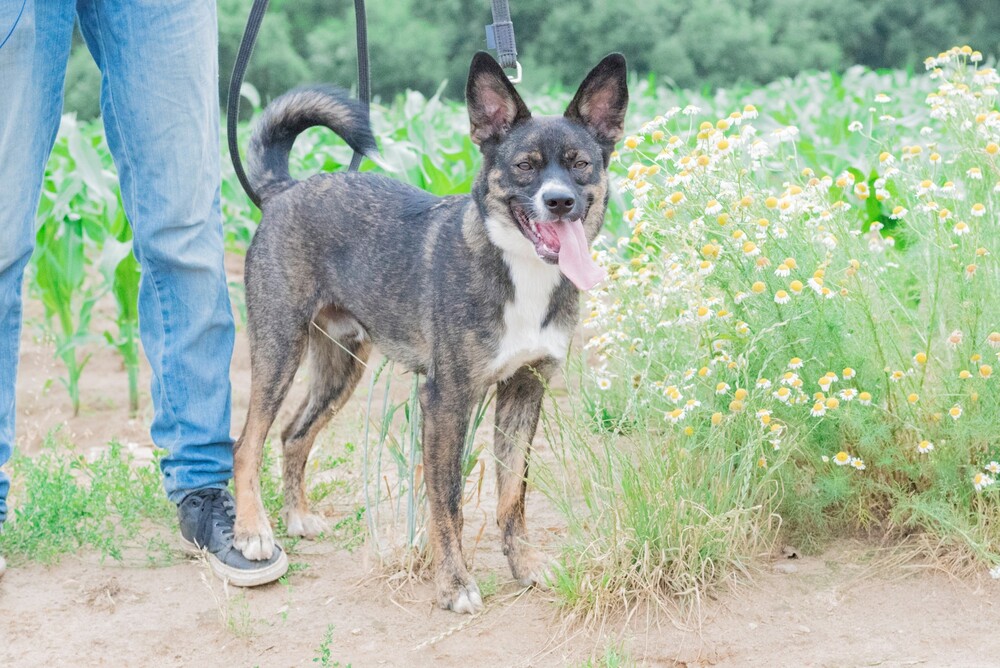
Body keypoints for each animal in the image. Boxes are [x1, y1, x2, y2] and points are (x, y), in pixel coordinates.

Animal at [232, 52, 624, 612]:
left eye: (580, 164)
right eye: (525, 166)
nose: (560, 202)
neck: (519, 268)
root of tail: (284, 190)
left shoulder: (525, 389)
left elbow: (513, 494)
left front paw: (525, 566)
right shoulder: (445, 400)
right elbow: (448, 502)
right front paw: (454, 584)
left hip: (342, 364)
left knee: (293, 434)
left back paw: (298, 516)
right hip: (279, 347)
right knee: (247, 444)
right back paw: (253, 533)